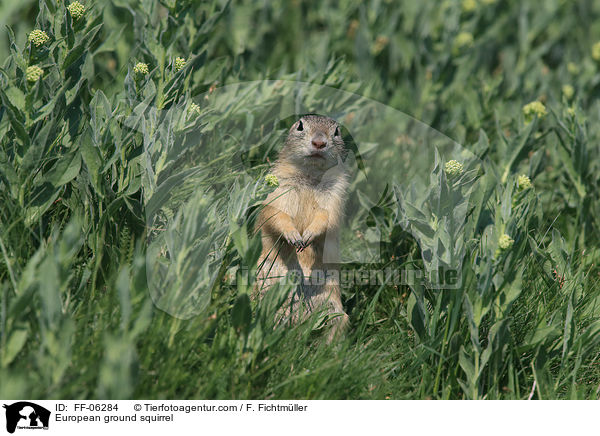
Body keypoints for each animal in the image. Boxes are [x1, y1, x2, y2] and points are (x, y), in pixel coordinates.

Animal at [254, 114, 350, 338]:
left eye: (336, 131)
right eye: (300, 126)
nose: (319, 143)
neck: (310, 175)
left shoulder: (335, 195)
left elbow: (326, 218)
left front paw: (308, 235)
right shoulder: (280, 188)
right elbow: (277, 214)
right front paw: (293, 236)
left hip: (337, 313)